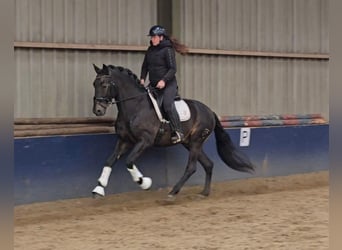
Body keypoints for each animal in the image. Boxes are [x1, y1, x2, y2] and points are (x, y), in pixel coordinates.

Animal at [91, 63, 254, 200]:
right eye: (94, 84)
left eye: (104, 85)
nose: (97, 110)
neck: (135, 106)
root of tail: (210, 111)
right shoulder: (125, 140)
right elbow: (110, 160)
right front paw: (98, 189)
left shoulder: (145, 141)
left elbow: (129, 161)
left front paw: (144, 182)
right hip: (189, 143)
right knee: (208, 164)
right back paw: (204, 193)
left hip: (196, 141)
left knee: (192, 167)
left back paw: (173, 192)